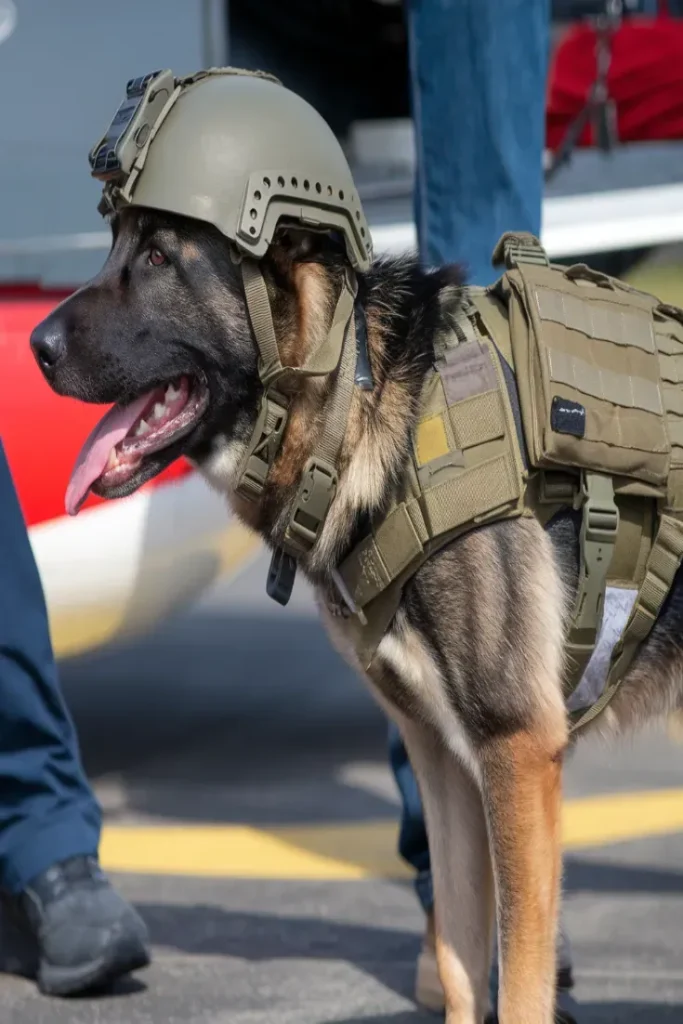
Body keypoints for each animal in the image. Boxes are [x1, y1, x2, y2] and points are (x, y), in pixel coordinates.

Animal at [30, 205, 683, 1015]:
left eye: (158, 258)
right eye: (116, 246)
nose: (34, 346)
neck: (362, 408)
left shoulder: (516, 749)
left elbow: (519, 986)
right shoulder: (446, 763)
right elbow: (461, 959)